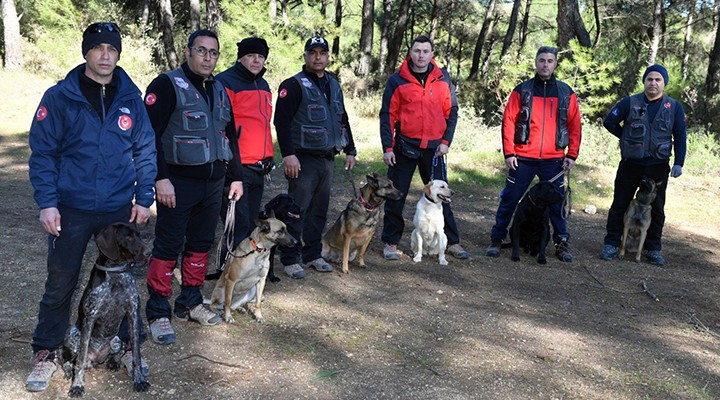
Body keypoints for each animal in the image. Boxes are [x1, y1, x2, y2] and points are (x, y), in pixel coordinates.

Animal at [61, 222, 150, 396]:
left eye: (138, 234)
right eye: (128, 237)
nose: (149, 252)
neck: (116, 274)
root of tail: (96, 358)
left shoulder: (133, 314)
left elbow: (136, 355)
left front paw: (139, 380)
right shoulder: (90, 318)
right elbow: (80, 360)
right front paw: (77, 386)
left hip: (117, 340)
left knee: (116, 353)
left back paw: (113, 362)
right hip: (72, 336)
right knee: (70, 361)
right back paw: (69, 371)